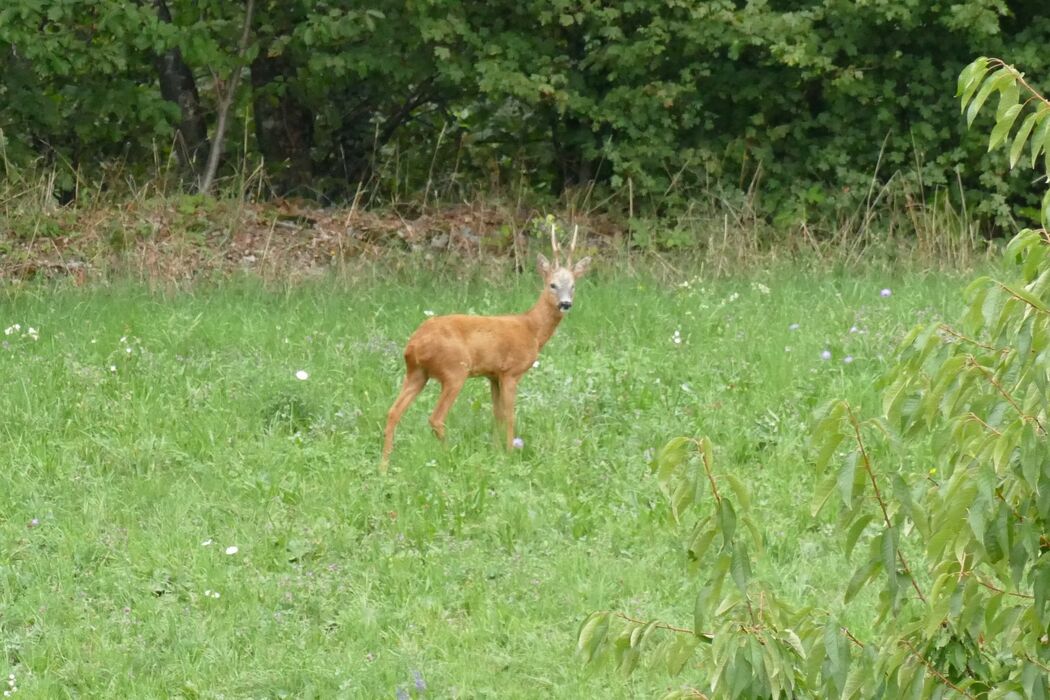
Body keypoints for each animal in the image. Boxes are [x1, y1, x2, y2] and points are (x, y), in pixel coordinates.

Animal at [382, 227, 592, 474]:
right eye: (552, 285)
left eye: (573, 285)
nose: (566, 303)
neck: (531, 329)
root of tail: (414, 344)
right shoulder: (511, 372)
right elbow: (509, 414)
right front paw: (510, 453)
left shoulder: (493, 375)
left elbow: (497, 414)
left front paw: (497, 451)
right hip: (454, 371)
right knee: (436, 418)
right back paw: (451, 456)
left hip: (416, 373)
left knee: (393, 412)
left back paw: (384, 466)